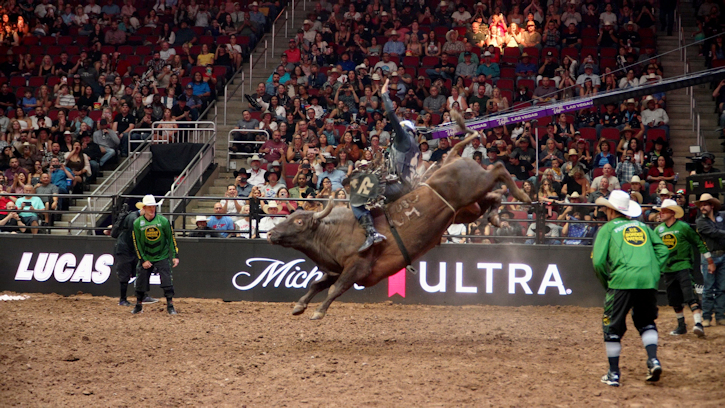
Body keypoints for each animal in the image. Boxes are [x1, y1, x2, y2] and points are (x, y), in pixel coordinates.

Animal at [266, 111, 528, 318]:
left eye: (299, 221)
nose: (270, 234)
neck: (332, 233)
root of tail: (453, 157)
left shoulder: (357, 267)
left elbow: (335, 289)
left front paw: (318, 312)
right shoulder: (334, 270)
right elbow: (316, 284)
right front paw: (299, 306)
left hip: (476, 185)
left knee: (498, 168)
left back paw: (521, 195)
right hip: (469, 207)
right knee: (493, 196)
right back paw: (496, 216)